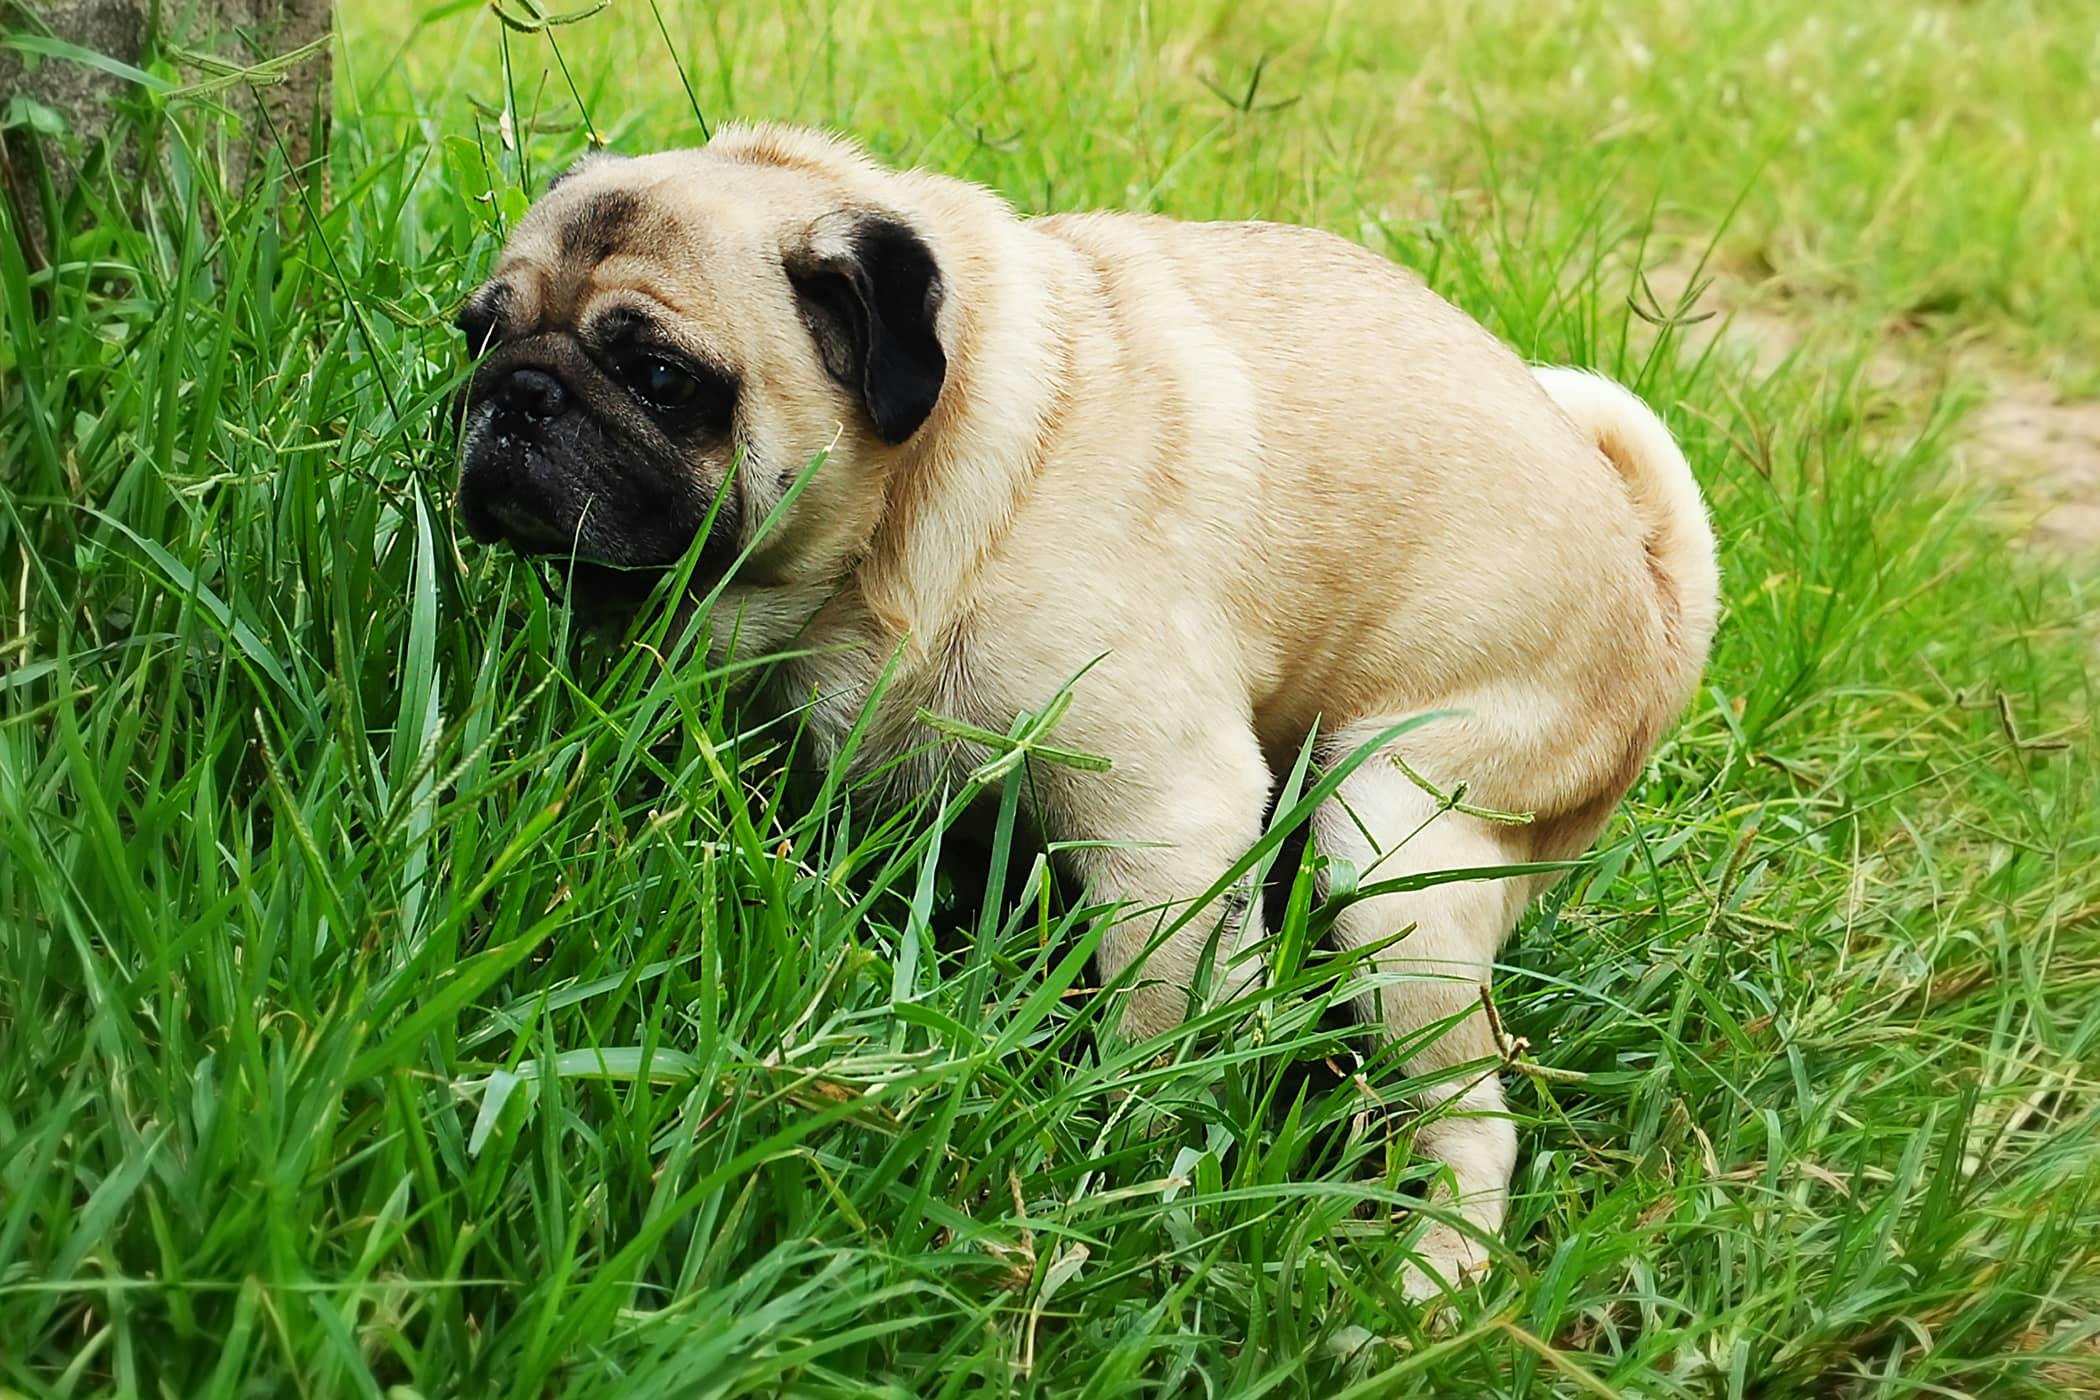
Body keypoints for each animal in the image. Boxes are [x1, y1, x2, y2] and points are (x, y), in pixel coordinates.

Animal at [451, 125, 1713, 1301]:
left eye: (661, 377)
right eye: (477, 334)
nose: (516, 396)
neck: (917, 504)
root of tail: (1653, 587)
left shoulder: (1169, 821)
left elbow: (1157, 1016)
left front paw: (1135, 1160)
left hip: (1393, 840)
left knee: (1470, 1109)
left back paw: (1429, 1276)